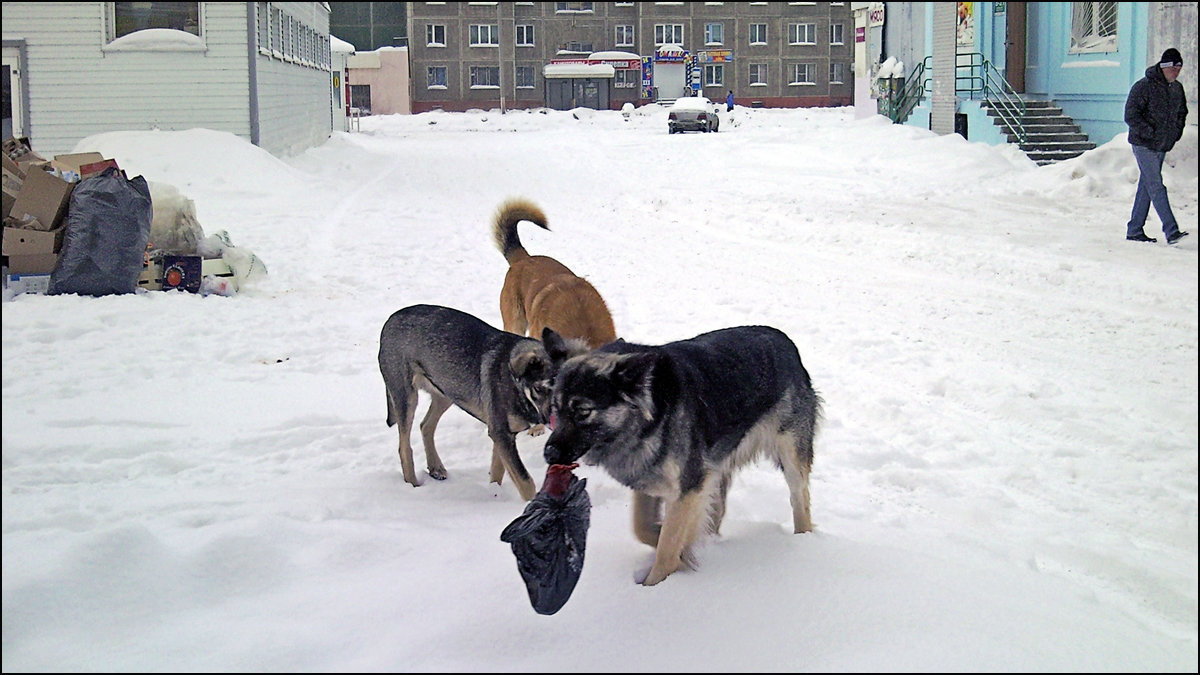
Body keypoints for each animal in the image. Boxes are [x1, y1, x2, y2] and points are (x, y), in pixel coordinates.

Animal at [374, 302, 580, 497]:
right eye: (539, 388)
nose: (552, 420)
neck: (517, 385)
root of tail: (391, 318)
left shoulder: (502, 436)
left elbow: (498, 471)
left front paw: (495, 494)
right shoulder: (501, 433)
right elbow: (525, 482)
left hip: (447, 390)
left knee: (426, 425)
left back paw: (436, 468)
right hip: (406, 397)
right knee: (404, 447)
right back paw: (413, 485)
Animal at [547, 326, 820, 583]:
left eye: (583, 411)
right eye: (555, 408)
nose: (549, 454)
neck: (651, 414)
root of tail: (784, 340)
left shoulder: (688, 489)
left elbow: (667, 550)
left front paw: (657, 583)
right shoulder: (648, 480)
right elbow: (641, 528)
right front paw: (684, 554)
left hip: (790, 456)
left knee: (800, 499)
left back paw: (803, 544)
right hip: (717, 473)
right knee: (717, 511)